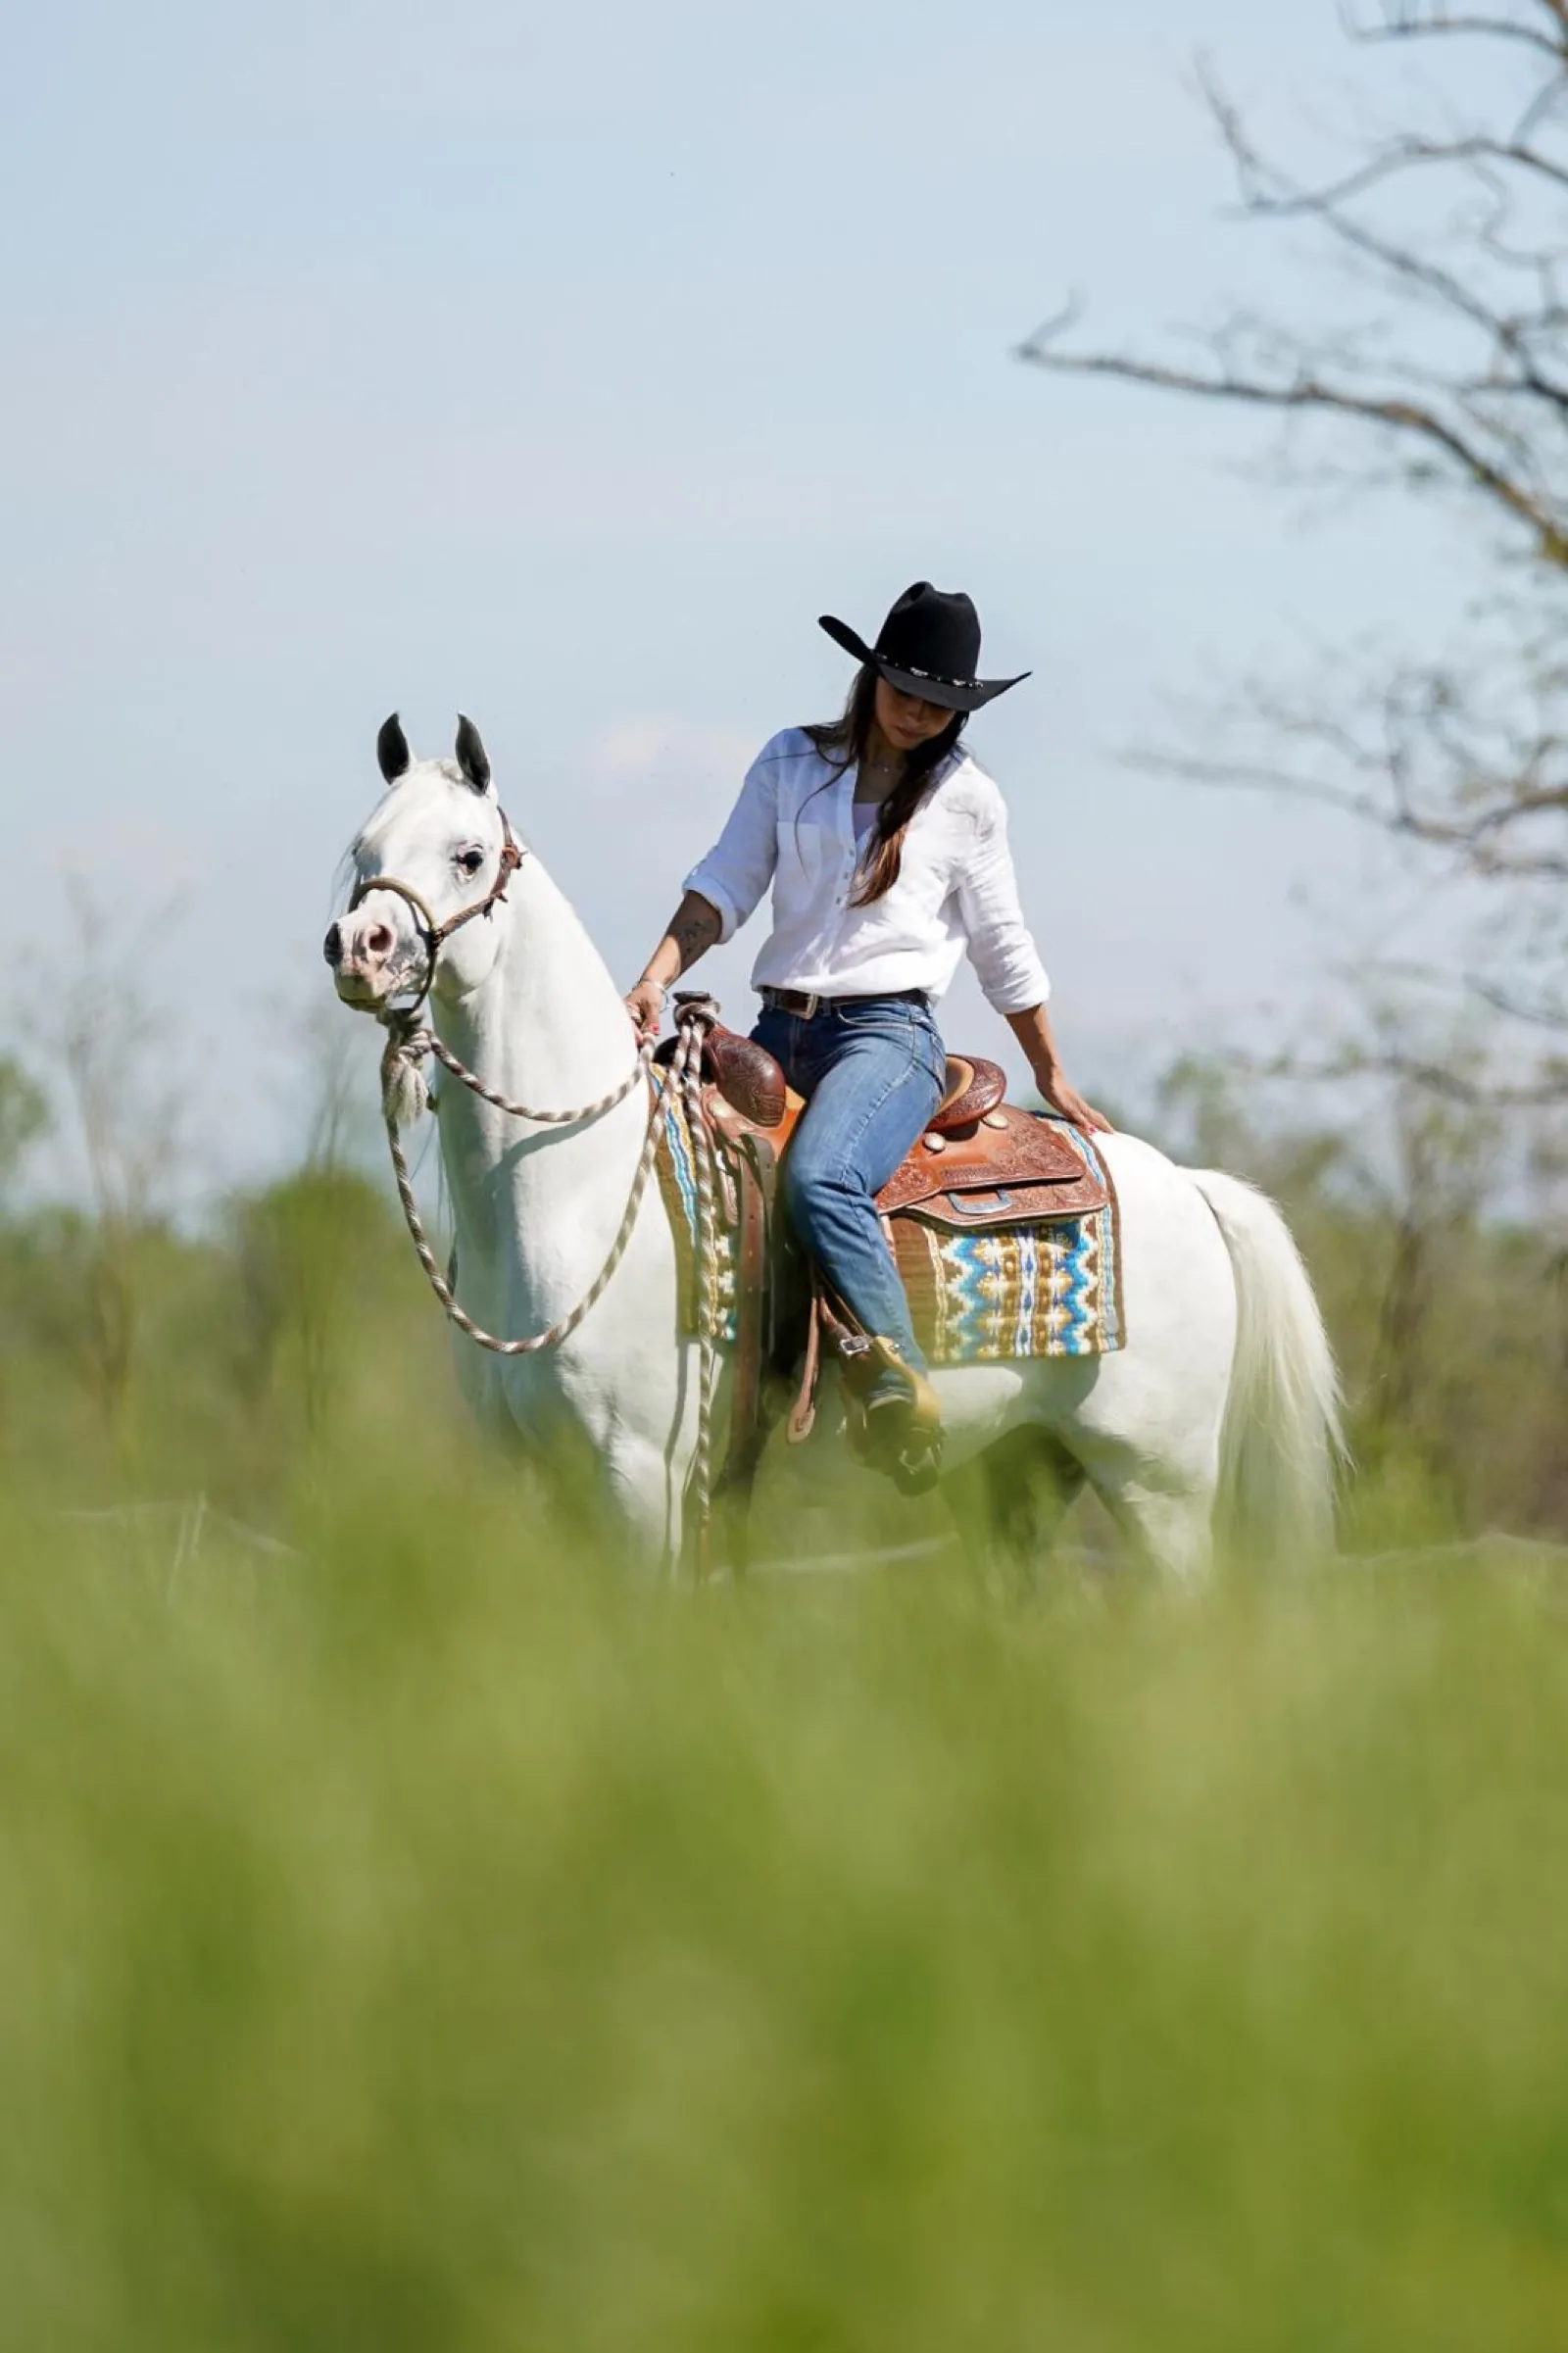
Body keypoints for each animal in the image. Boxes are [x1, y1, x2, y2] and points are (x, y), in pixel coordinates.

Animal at [325, 716, 1343, 1579]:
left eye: (468, 856)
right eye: (364, 849)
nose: (359, 945)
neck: (573, 1194)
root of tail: (1187, 1186)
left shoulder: (641, 1481)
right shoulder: (542, 1486)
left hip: (1159, 1485)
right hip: (1017, 1474)